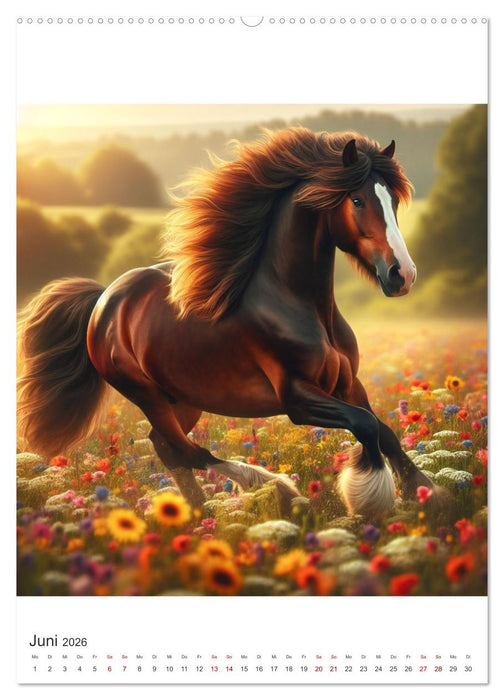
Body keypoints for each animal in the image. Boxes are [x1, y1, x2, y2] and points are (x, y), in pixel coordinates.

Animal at [17, 127, 437, 520]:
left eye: (393, 200)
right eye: (357, 200)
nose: (403, 274)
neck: (299, 306)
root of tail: (105, 299)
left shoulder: (349, 383)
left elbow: (385, 432)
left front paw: (428, 496)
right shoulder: (298, 398)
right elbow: (365, 425)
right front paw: (371, 498)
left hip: (183, 399)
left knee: (167, 447)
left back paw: (199, 514)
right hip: (145, 394)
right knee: (187, 450)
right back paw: (274, 489)